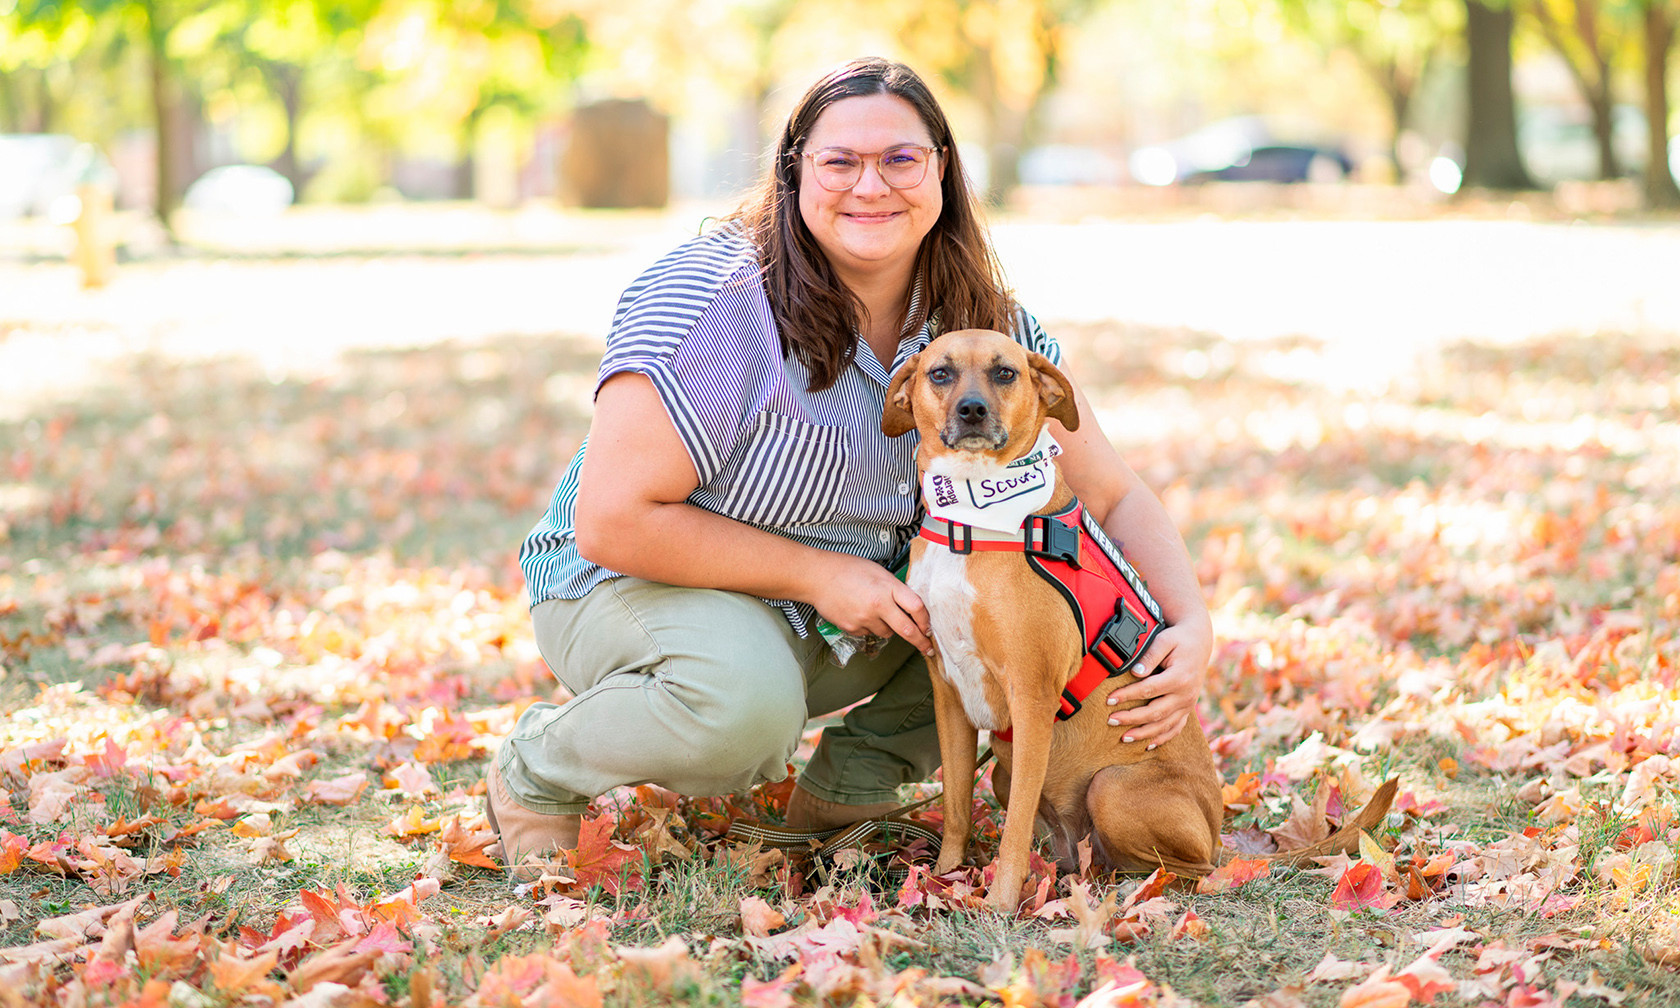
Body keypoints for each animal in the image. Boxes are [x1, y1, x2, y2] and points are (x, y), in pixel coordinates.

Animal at [887, 332, 1397, 913]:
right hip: (1006, 773)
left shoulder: (1032, 696)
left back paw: (1137, 888)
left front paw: (998, 902)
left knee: (1190, 871)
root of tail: (1219, 837)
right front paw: (942, 879)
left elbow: (1014, 828)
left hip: (1111, 787)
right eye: (940, 373)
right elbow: (954, 810)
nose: (972, 410)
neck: (973, 521)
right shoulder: (949, 693)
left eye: (1005, 373)